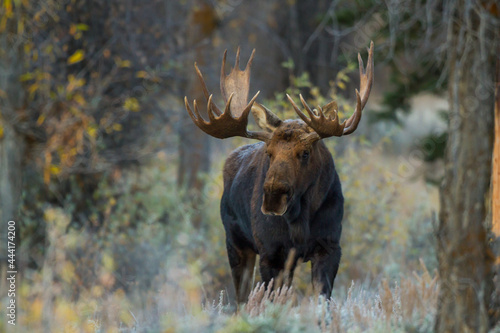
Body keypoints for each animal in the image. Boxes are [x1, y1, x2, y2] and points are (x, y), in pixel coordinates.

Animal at [186, 42, 374, 304]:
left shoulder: (330, 247)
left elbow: (322, 301)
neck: (300, 220)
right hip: (235, 243)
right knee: (241, 300)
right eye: (269, 152)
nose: (273, 197)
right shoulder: (271, 253)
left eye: (305, 152)